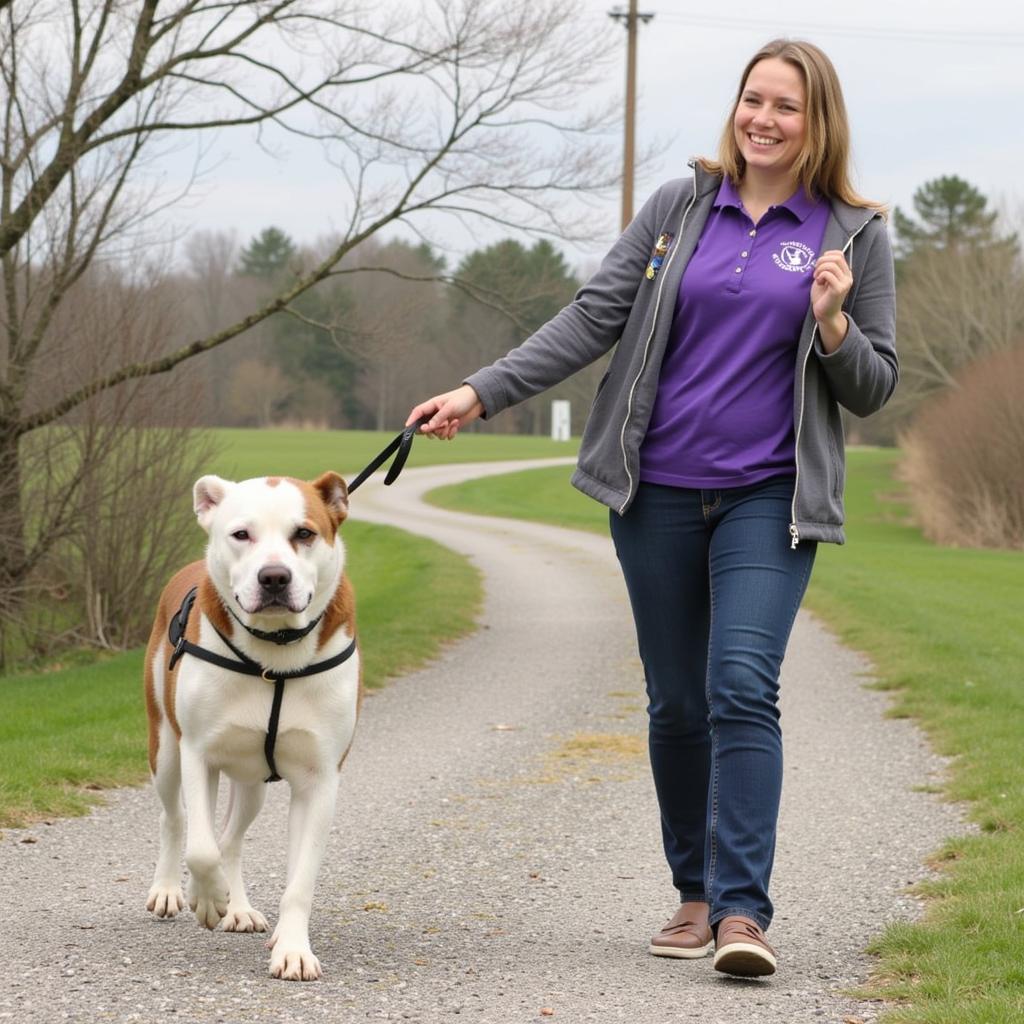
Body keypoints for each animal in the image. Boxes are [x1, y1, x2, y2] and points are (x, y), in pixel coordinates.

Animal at [144, 473, 360, 983]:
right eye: (241, 534)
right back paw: (173, 890)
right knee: (176, 819)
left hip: (252, 782)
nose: (274, 577)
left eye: (304, 533)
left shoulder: (320, 780)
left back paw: (239, 908)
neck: (274, 651)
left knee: (231, 838)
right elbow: (200, 848)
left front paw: (292, 948)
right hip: (165, 747)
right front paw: (207, 899)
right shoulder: (198, 753)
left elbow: (299, 879)